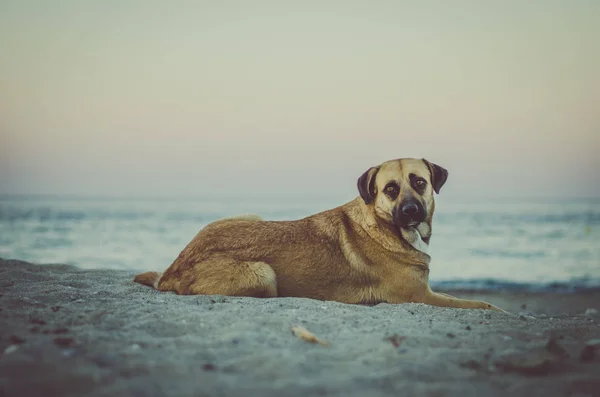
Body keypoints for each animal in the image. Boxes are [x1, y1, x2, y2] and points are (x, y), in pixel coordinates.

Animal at [135, 157, 502, 310]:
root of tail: (172, 268)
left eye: (420, 182)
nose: (411, 211)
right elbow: (484, 305)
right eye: (391, 189)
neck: (386, 226)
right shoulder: (420, 296)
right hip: (263, 273)